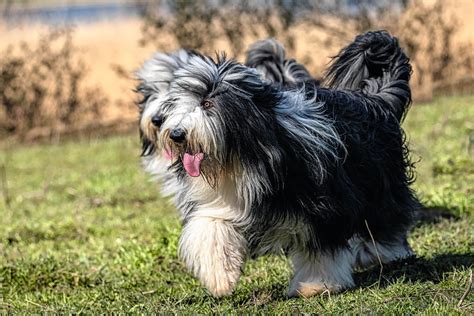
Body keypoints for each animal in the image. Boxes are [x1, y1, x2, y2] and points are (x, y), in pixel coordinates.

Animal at [136, 30, 418, 298]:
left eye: (207, 103)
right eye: (176, 103)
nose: (175, 133)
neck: (240, 158)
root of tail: (375, 99)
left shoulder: (324, 204)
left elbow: (321, 247)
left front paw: (316, 285)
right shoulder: (225, 201)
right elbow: (210, 226)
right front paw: (221, 277)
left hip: (380, 180)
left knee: (387, 216)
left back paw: (384, 251)